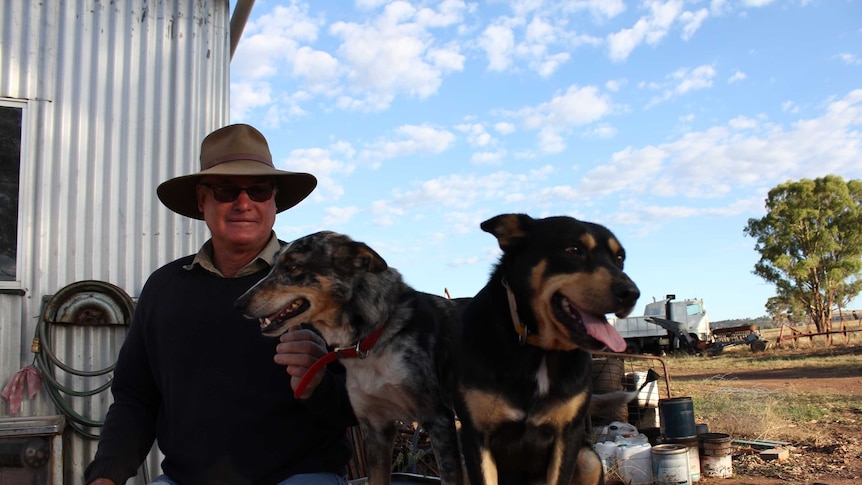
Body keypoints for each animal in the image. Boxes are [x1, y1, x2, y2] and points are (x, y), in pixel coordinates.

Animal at [233, 232, 466, 484]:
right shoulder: (376, 428)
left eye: (293, 266)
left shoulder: (438, 420)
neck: (372, 340)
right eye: (273, 266)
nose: (238, 304)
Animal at [460, 214, 640, 484]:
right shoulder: (476, 438)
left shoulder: (567, 436)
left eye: (619, 258)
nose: (631, 293)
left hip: (589, 460)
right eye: (573, 250)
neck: (538, 350)